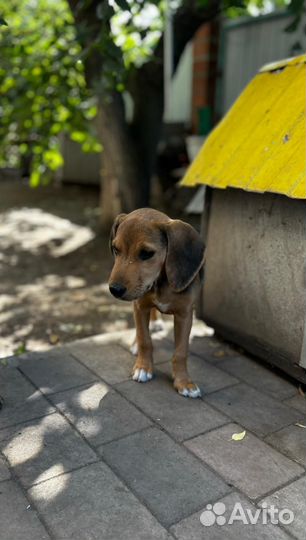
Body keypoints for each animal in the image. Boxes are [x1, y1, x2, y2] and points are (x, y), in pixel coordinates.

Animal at [108, 207, 206, 396]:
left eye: (146, 254)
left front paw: (184, 382)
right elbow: (145, 339)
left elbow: (181, 352)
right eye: (116, 249)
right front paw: (143, 368)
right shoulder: (140, 307)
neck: (160, 283)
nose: (114, 289)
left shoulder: (185, 315)